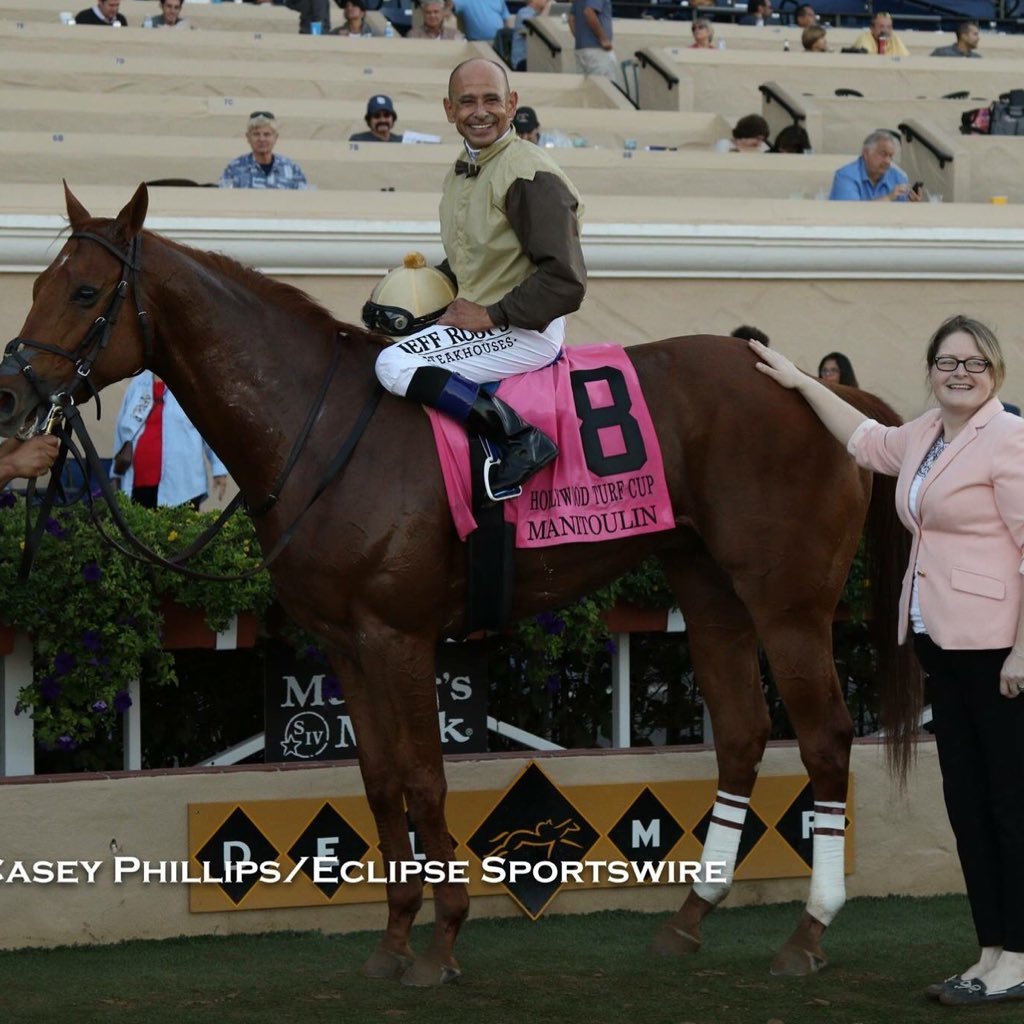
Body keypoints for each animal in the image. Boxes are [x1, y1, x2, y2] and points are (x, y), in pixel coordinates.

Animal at [0, 186, 913, 983]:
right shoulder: (347, 644)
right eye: (36, 284)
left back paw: (807, 932)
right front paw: (394, 940)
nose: (12, 393)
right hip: (710, 588)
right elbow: (379, 783)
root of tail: (822, 389)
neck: (321, 427)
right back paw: (690, 918)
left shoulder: (399, 636)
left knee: (826, 739)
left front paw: (441, 942)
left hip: (789, 604)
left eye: (85, 290)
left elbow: (425, 779)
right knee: (743, 736)